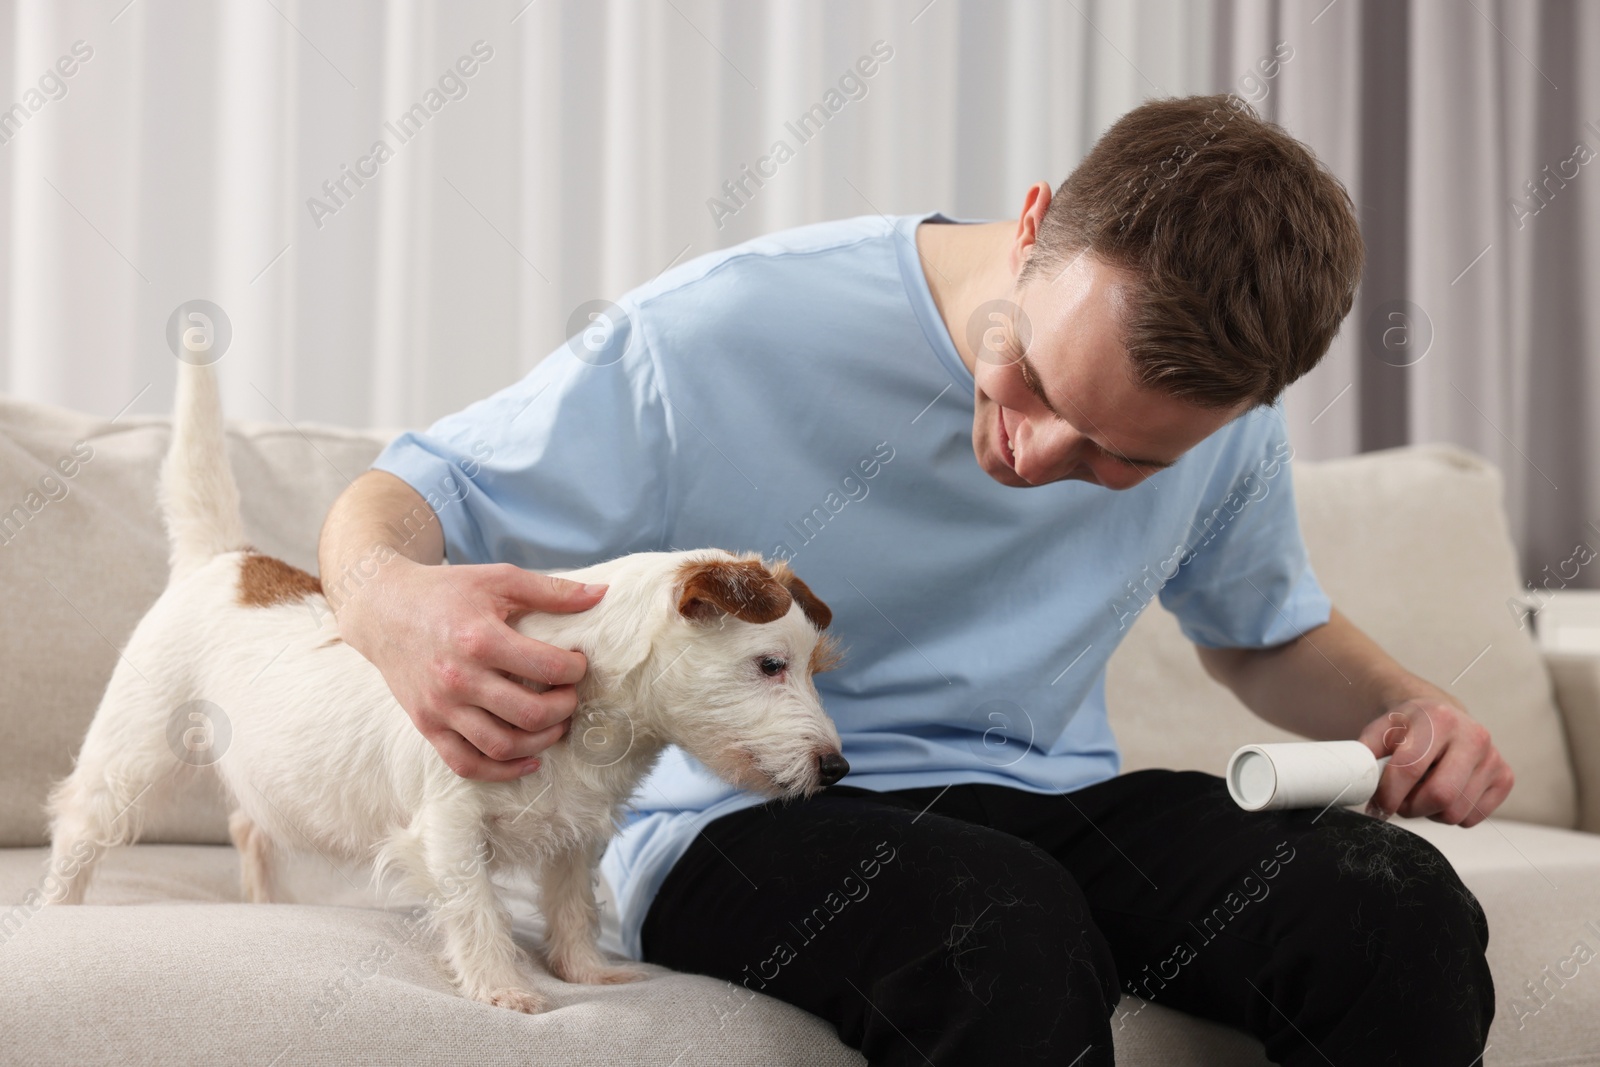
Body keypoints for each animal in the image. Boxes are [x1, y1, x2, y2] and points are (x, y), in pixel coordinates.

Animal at [40, 356, 851, 1011]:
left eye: (815, 669)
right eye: (770, 665)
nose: (838, 768)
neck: (601, 709)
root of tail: (226, 558)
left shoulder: (580, 834)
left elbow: (573, 904)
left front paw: (587, 973)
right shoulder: (452, 828)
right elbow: (478, 910)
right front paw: (504, 989)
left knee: (249, 825)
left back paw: (265, 903)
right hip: (131, 755)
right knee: (81, 826)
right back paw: (57, 911)